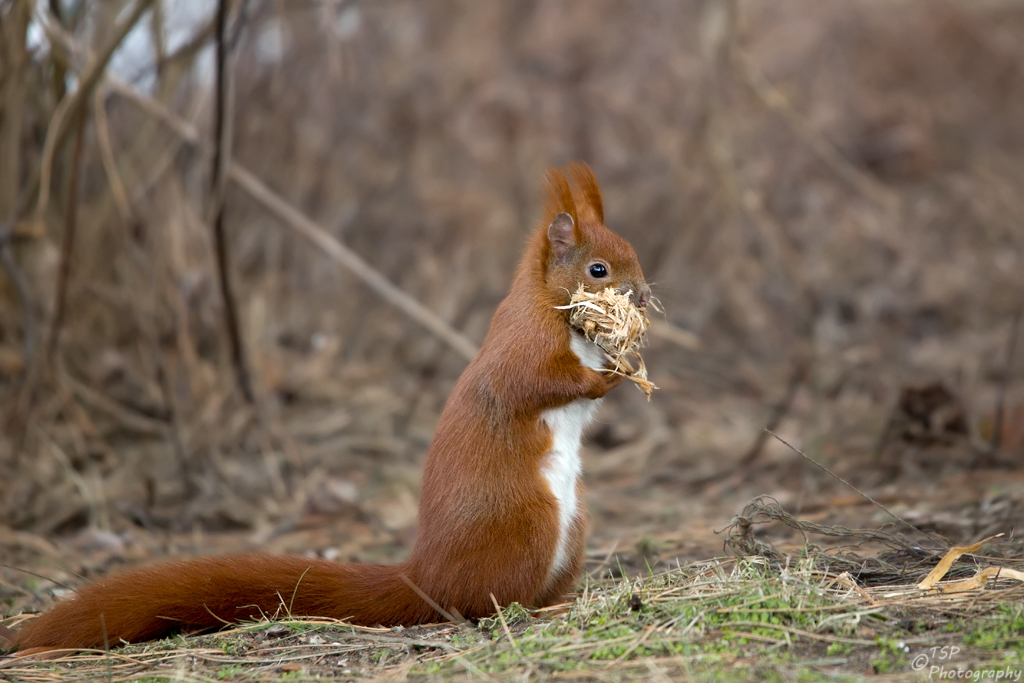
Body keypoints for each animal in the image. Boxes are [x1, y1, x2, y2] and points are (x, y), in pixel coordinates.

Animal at [8, 163, 647, 651]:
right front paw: (609, 374)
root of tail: (426, 579)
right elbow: (543, 382)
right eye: (598, 269)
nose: (642, 295)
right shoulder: (524, 348)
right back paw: (533, 613)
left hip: (573, 527)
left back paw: (565, 604)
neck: (556, 312)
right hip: (526, 523)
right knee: (486, 604)